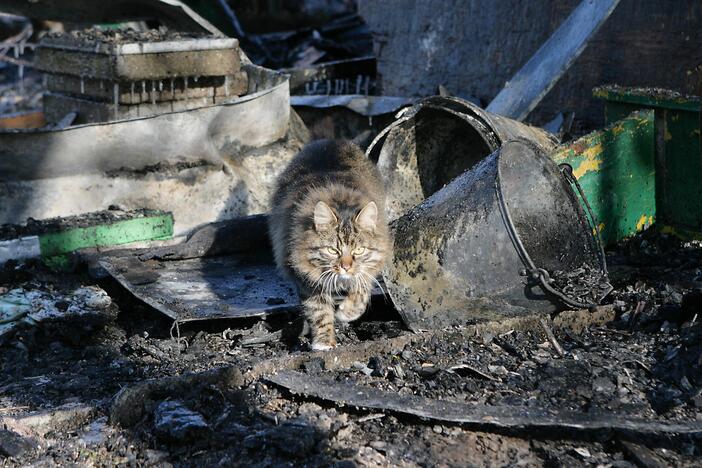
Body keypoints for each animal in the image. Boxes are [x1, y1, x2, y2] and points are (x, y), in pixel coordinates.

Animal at [270, 140, 394, 352]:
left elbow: (361, 292)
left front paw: (346, 312)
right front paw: (324, 341)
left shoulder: (367, 270)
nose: (346, 266)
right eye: (332, 250)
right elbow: (320, 313)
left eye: (358, 250)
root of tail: (332, 141)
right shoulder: (307, 280)